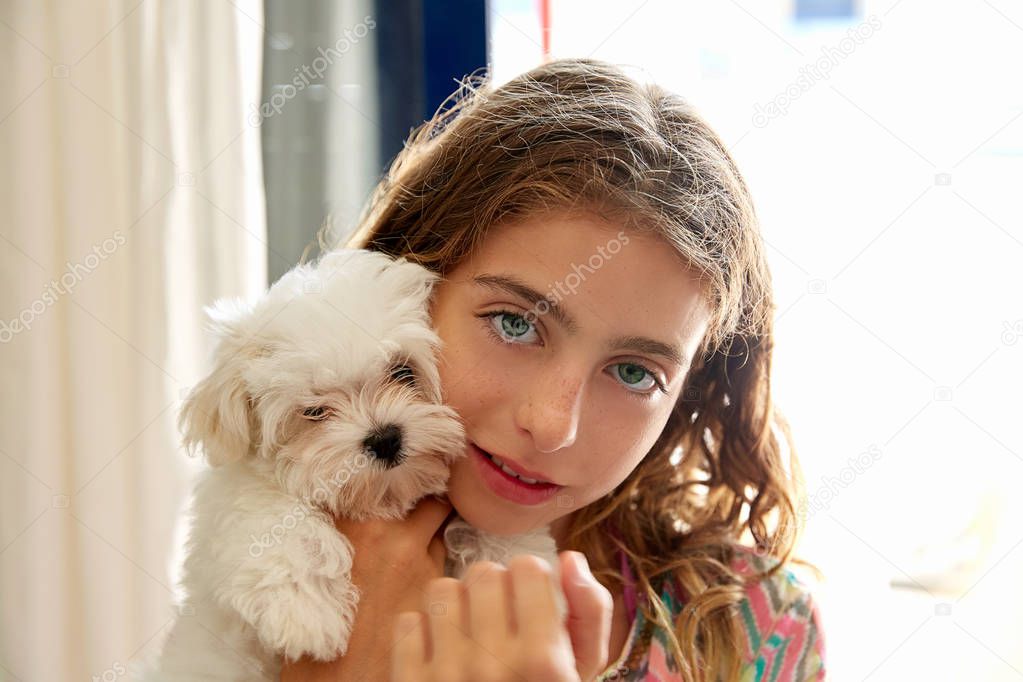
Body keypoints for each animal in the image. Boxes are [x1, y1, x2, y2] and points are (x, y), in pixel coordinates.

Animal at [132, 250, 564, 682]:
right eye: (314, 411)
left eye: (402, 371)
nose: (385, 438)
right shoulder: (237, 494)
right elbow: (272, 519)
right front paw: (307, 614)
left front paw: (520, 576)